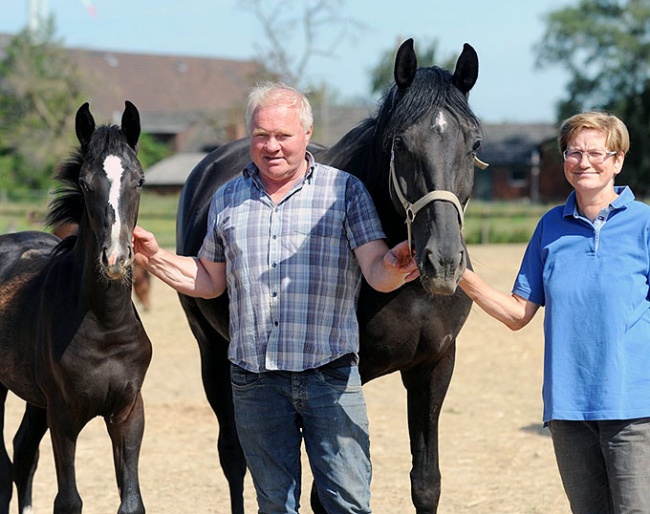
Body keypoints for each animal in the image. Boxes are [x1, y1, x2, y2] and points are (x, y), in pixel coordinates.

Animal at [0, 101, 151, 512]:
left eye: (140, 180)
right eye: (84, 183)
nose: (115, 259)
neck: (105, 325)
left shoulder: (128, 412)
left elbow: (131, 501)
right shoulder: (64, 416)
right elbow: (68, 500)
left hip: (34, 399)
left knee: (23, 453)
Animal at [176, 38, 480, 510]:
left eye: (474, 143)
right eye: (400, 144)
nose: (443, 261)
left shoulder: (434, 365)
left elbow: (426, 483)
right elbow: (323, 493)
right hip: (210, 348)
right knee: (234, 458)